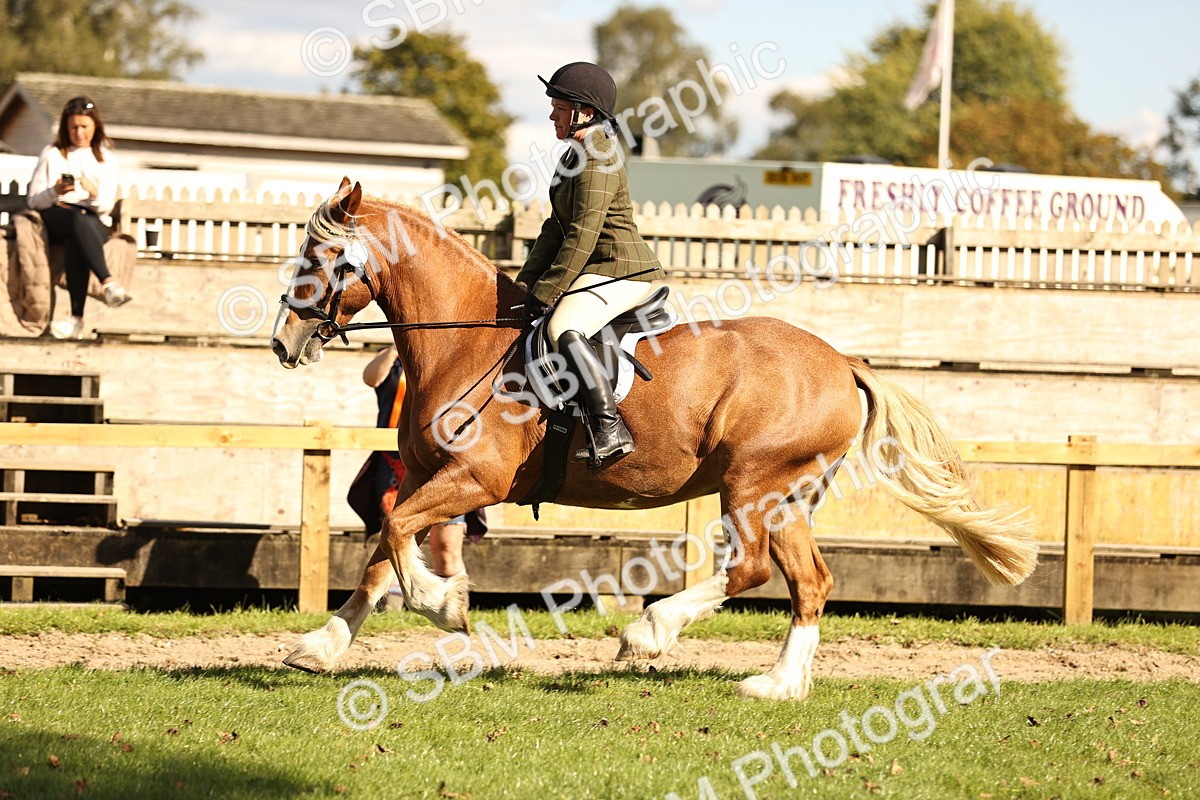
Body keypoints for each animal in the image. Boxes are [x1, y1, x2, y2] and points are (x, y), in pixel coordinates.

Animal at [270, 178, 1038, 700]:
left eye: (323, 256)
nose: (283, 341)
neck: (466, 343)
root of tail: (842, 361)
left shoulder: (472, 481)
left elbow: (398, 534)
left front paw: (448, 607)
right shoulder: (428, 476)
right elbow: (382, 551)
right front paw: (320, 646)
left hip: (752, 485)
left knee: (750, 570)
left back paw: (647, 633)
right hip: (787, 496)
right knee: (809, 581)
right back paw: (777, 684)